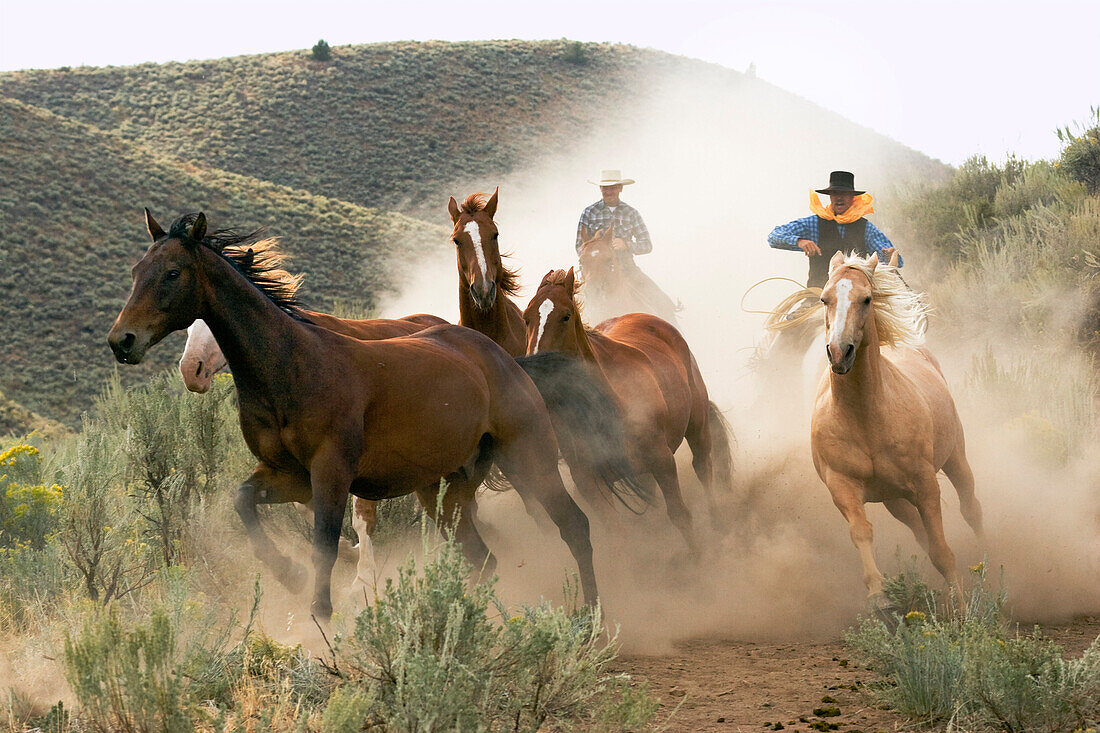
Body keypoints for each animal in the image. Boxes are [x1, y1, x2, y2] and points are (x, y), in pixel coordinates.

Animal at [521, 265, 730, 550]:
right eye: (526, 318)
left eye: (565, 316)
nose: (534, 373)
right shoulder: (590, 483)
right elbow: (617, 534)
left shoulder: (661, 460)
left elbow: (680, 514)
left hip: (697, 426)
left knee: (702, 466)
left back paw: (718, 523)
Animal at [814, 250, 985, 611]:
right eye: (824, 298)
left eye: (866, 299)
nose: (839, 352)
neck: (866, 417)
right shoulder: (841, 485)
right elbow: (861, 531)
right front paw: (879, 596)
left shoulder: (925, 486)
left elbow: (942, 551)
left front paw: (961, 608)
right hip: (894, 499)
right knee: (918, 530)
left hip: (956, 458)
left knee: (971, 508)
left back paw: (988, 556)